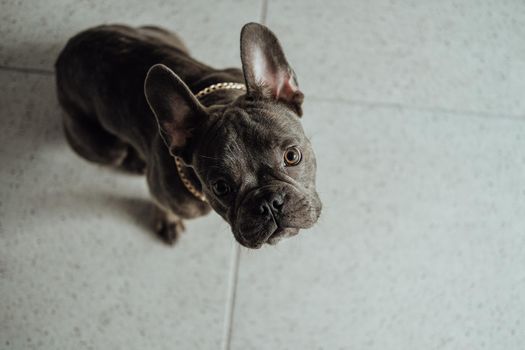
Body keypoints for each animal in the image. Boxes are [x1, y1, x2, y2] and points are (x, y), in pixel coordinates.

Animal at [55, 22, 322, 249]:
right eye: (220, 187)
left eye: (292, 156)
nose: (269, 203)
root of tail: (68, 49)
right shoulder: (164, 194)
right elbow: (161, 204)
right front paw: (168, 221)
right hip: (105, 149)